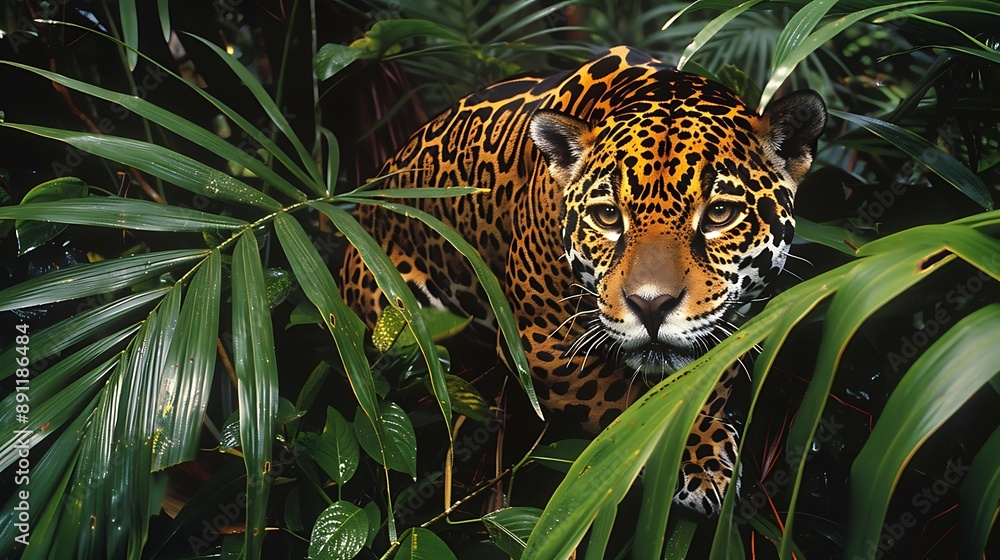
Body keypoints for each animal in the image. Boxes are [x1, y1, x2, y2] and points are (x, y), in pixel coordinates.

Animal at [340, 46, 826, 517]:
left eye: (720, 214)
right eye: (608, 216)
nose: (651, 305)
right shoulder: (538, 344)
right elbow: (629, 405)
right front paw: (688, 452)